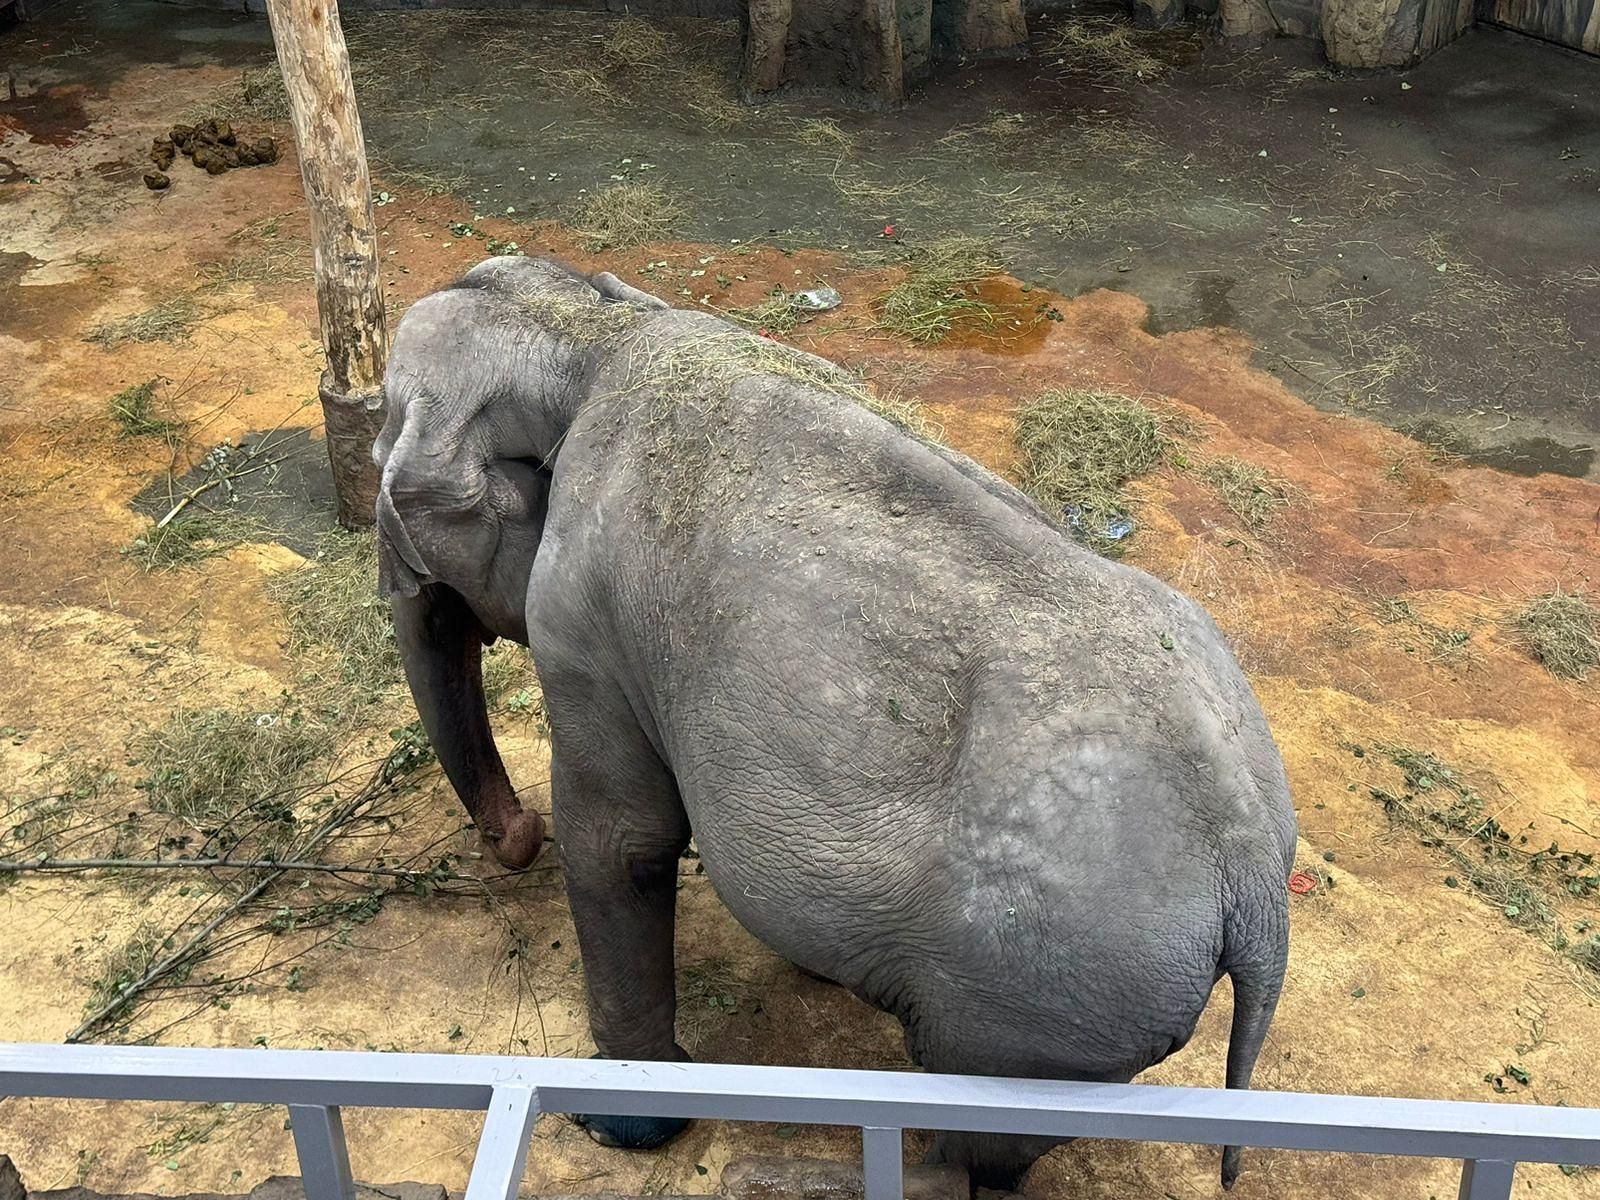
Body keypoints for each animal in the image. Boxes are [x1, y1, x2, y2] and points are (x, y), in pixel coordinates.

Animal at [374, 256, 1299, 1196]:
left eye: (380, 472)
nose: (517, 833)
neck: (598, 332)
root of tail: (1255, 879)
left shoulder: (582, 615)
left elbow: (623, 841)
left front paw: (616, 1127)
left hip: (1045, 1004)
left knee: (979, 1138)